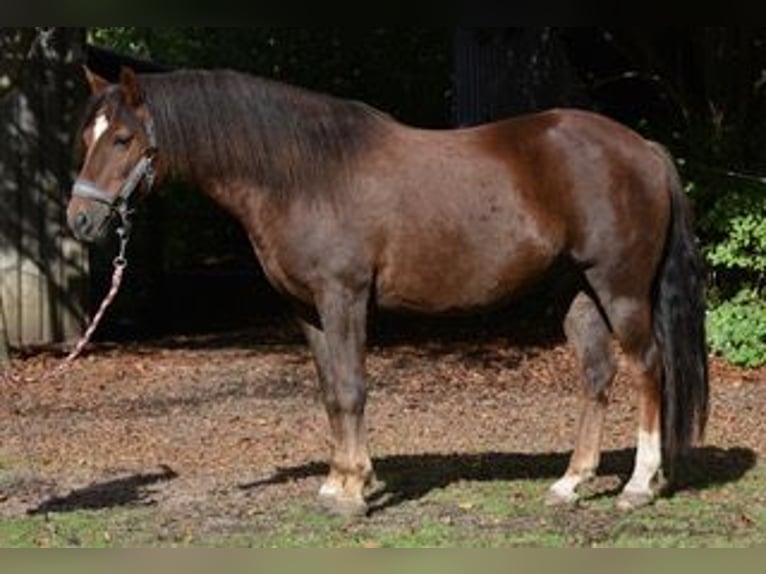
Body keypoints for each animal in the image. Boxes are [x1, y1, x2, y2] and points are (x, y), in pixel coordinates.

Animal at [66, 66, 708, 517]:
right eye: (86, 136)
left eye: (122, 138)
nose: (80, 220)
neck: (304, 175)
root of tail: (644, 149)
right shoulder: (308, 310)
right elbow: (331, 392)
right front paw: (338, 482)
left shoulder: (344, 297)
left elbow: (353, 389)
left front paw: (353, 493)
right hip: (576, 292)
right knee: (597, 374)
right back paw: (571, 483)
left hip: (620, 289)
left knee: (648, 367)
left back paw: (639, 485)